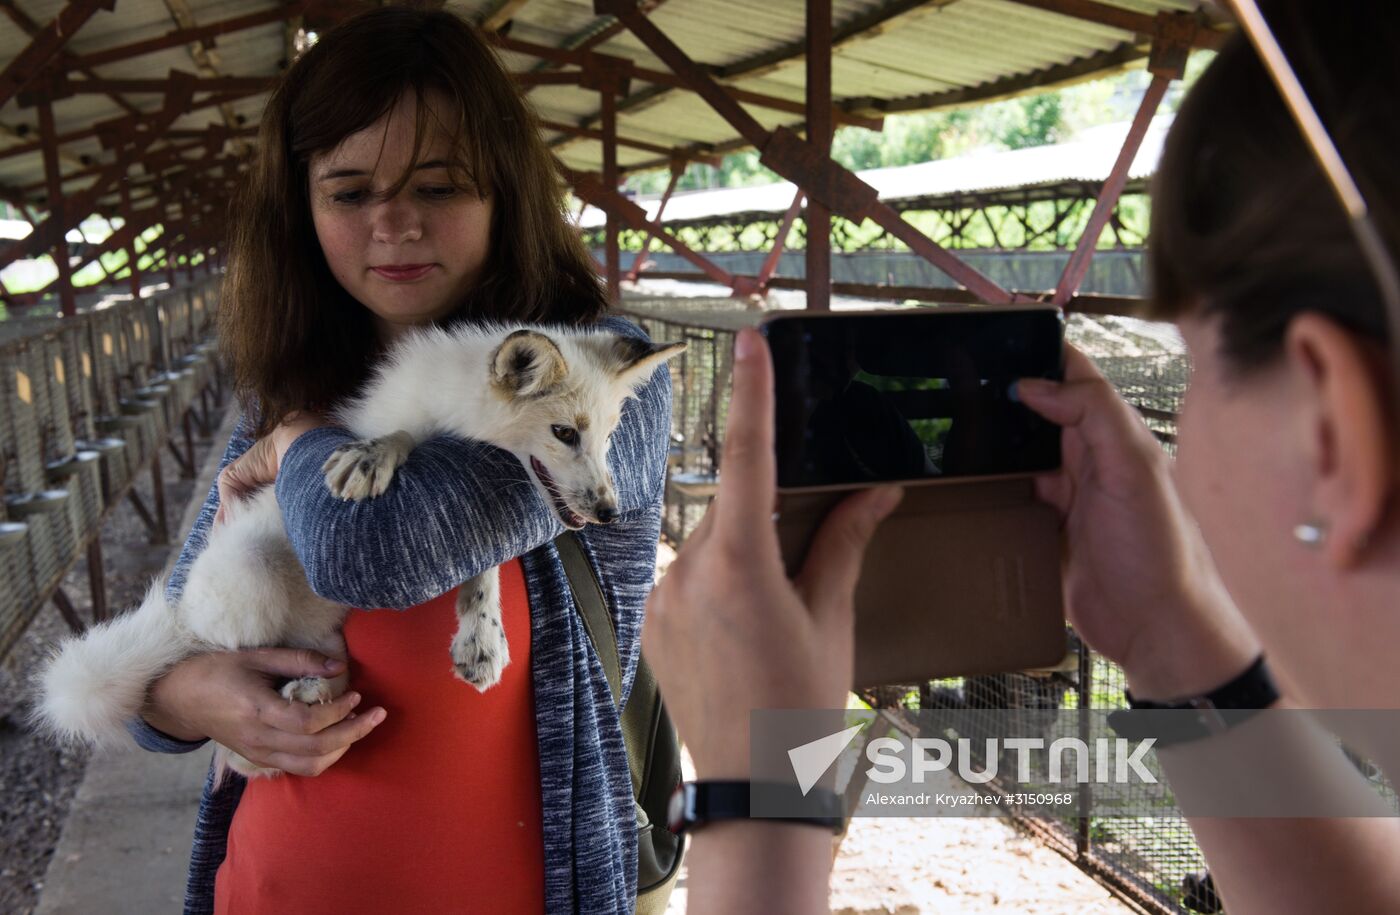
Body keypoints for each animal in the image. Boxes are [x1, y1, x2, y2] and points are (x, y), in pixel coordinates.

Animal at [35, 324, 686, 783]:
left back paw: (317, 693)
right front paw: (371, 456)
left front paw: (481, 640)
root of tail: (182, 617)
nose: (609, 511)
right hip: (249, 581)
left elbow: (481, 571)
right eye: (564, 434)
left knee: (318, 671)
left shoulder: (466, 523)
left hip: (321, 632)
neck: (452, 424)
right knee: (236, 713)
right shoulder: (396, 421)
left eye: (609, 436)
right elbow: (392, 435)